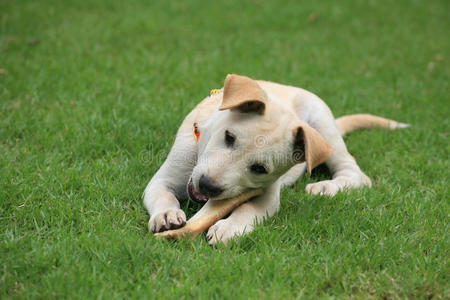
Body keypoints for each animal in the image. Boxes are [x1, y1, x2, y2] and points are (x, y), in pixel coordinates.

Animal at [143, 74, 408, 245]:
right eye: (229, 137)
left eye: (260, 168)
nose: (207, 186)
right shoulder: (166, 177)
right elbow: (162, 193)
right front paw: (167, 216)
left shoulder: (269, 194)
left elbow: (248, 208)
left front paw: (229, 227)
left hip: (323, 123)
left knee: (356, 173)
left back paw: (326, 187)